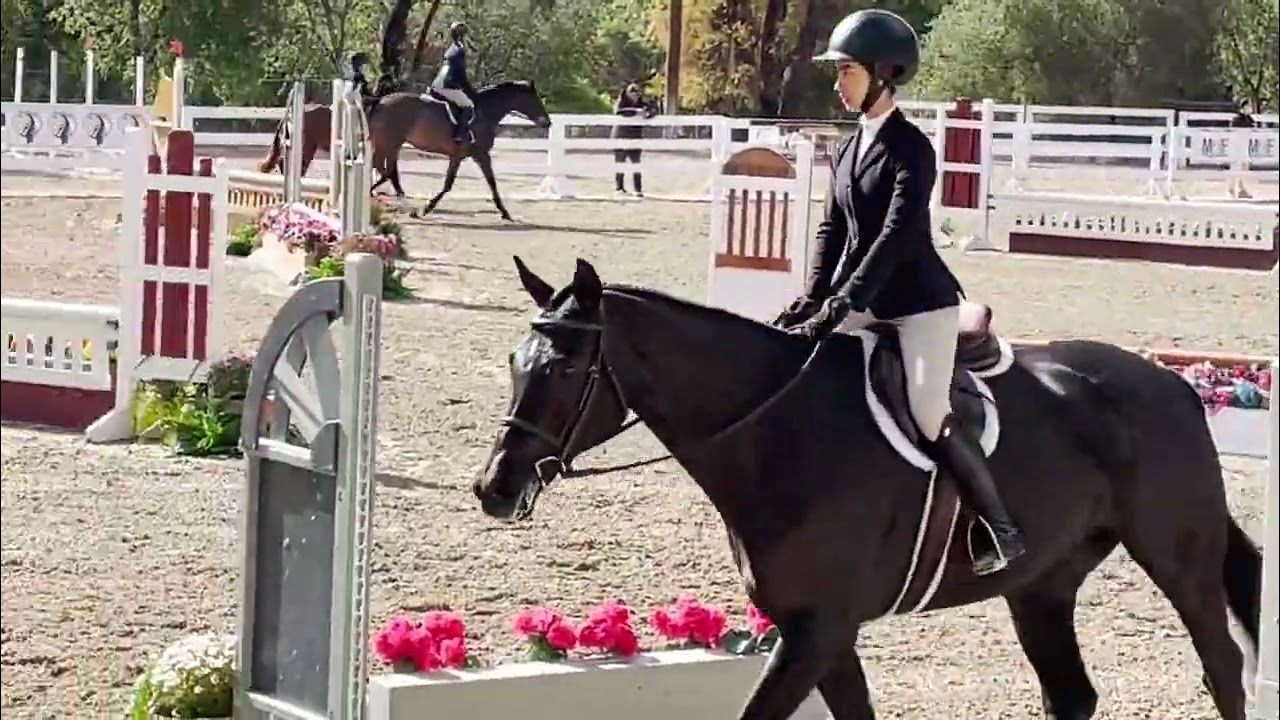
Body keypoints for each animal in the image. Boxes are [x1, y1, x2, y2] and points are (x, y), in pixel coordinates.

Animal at [364, 81, 552, 221]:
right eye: (534, 100)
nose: (547, 122)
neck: (485, 112)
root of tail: (380, 100)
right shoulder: (478, 154)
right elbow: (454, 184)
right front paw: (426, 208)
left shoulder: (467, 156)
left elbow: (487, 182)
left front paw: (505, 213)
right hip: (388, 143)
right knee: (383, 169)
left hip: (391, 145)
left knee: (385, 169)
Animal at [473, 257, 1263, 720]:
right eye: (514, 360)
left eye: (566, 368)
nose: (494, 488)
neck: (777, 426)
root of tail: (1175, 385)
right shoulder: (820, 630)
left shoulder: (819, 628)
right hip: (1043, 583)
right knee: (1072, 694)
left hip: (1177, 558)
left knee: (1222, 666)